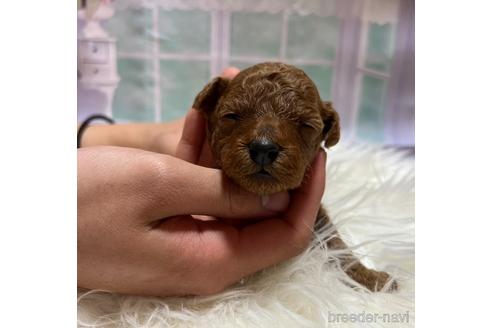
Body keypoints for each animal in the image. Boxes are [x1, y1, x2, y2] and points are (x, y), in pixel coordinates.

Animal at [192, 62, 396, 292]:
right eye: (232, 116)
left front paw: (372, 278)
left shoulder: (319, 218)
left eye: (306, 125)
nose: (263, 148)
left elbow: (337, 244)